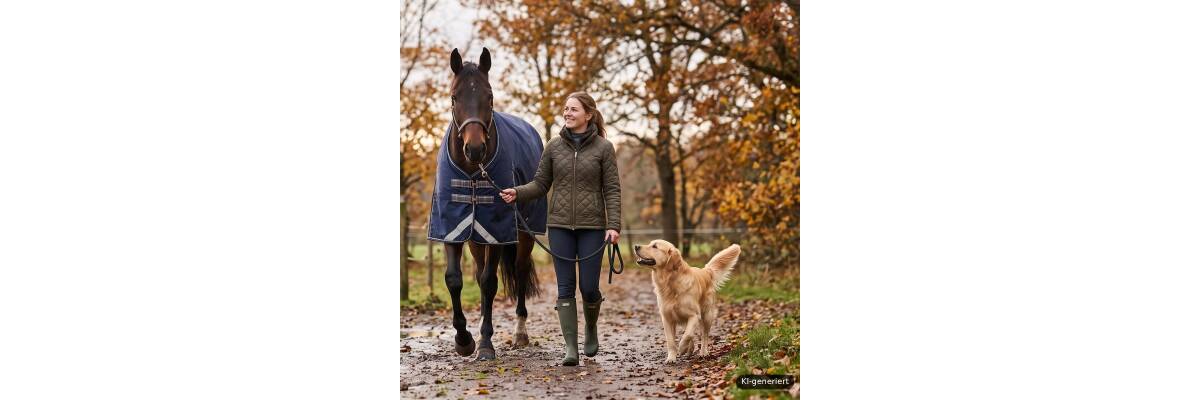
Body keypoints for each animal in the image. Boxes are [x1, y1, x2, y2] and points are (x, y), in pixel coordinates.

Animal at [426, 47, 548, 361]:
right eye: (454, 97)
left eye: (489, 96)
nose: (475, 148)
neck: (472, 170)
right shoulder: (453, 227)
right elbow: (454, 279)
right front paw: (464, 339)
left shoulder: (496, 231)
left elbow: (490, 282)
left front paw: (485, 344)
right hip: (475, 238)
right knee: (479, 274)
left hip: (523, 233)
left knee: (517, 271)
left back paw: (519, 333)